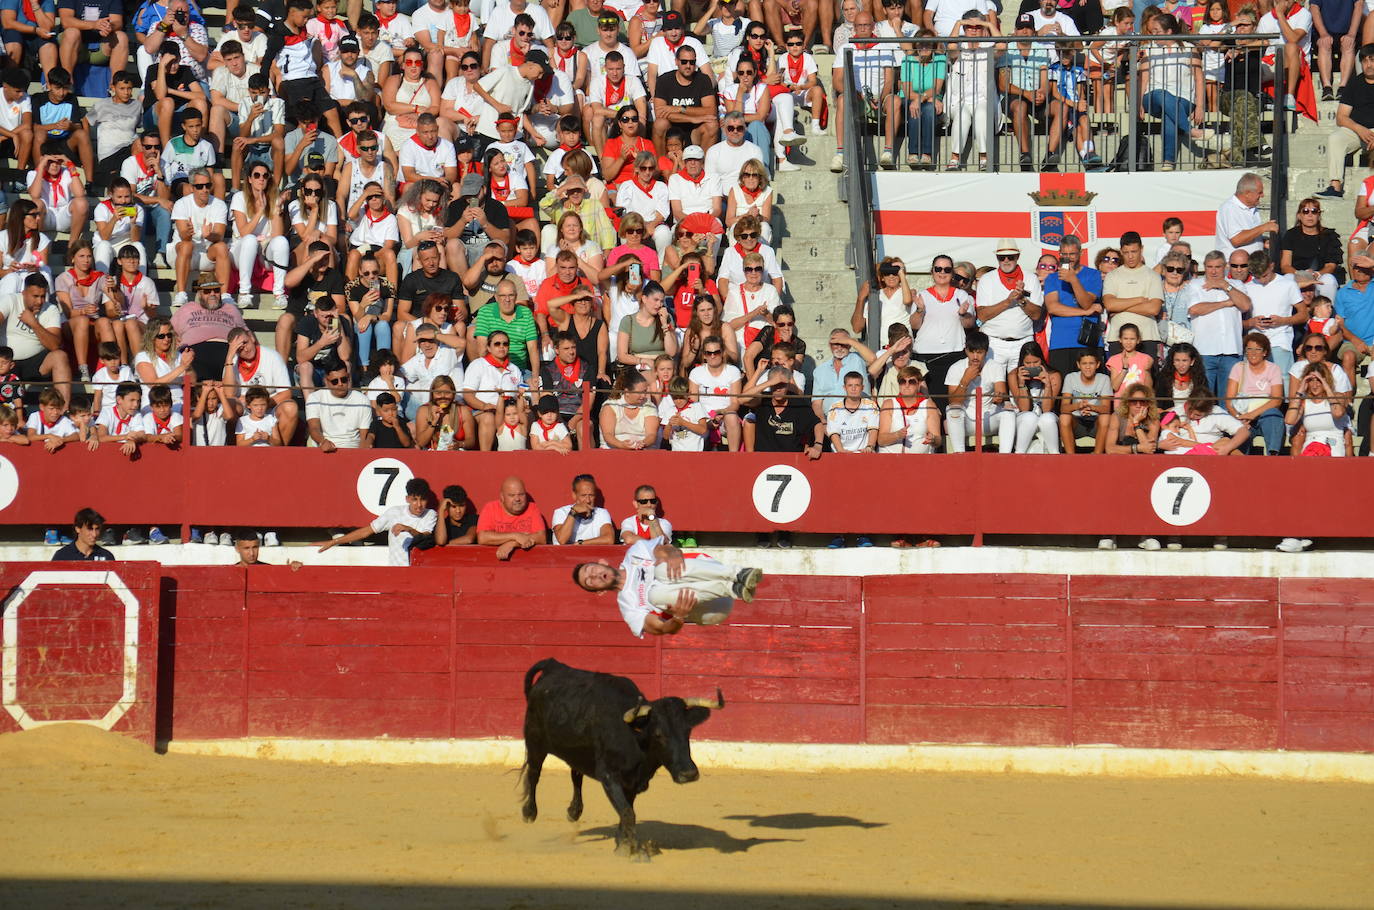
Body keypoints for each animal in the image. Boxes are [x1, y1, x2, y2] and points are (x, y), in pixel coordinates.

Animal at [519, 659, 725, 857]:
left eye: (688, 730)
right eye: (658, 734)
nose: (688, 774)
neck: (635, 737)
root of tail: (553, 665)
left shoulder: (632, 782)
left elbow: (627, 811)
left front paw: (622, 843)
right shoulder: (609, 776)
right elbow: (627, 812)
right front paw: (629, 848)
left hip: (576, 750)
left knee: (576, 776)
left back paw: (574, 811)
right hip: (535, 742)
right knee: (534, 774)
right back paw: (529, 813)